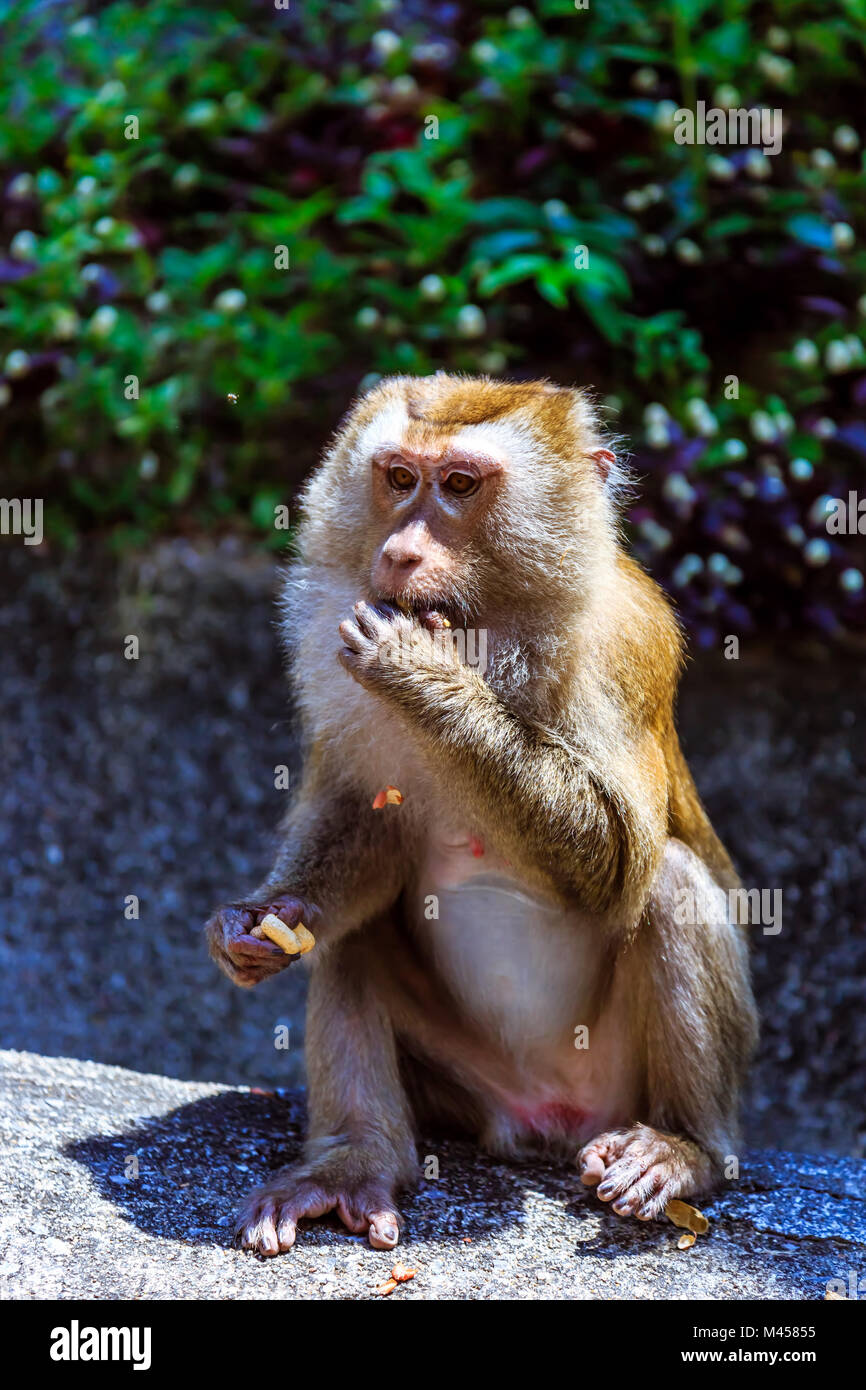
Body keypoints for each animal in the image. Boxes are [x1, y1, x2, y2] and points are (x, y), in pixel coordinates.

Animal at [204, 372, 758, 1256]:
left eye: (461, 486)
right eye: (399, 478)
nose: (400, 552)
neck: (494, 636)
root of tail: (544, 1120)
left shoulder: (625, 644)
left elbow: (622, 866)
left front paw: (423, 675)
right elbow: (365, 831)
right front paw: (257, 922)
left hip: (616, 1082)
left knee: (669, 882)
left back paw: (684, 1149)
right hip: (468, 1090)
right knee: (355, 933)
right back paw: (354, 1161)